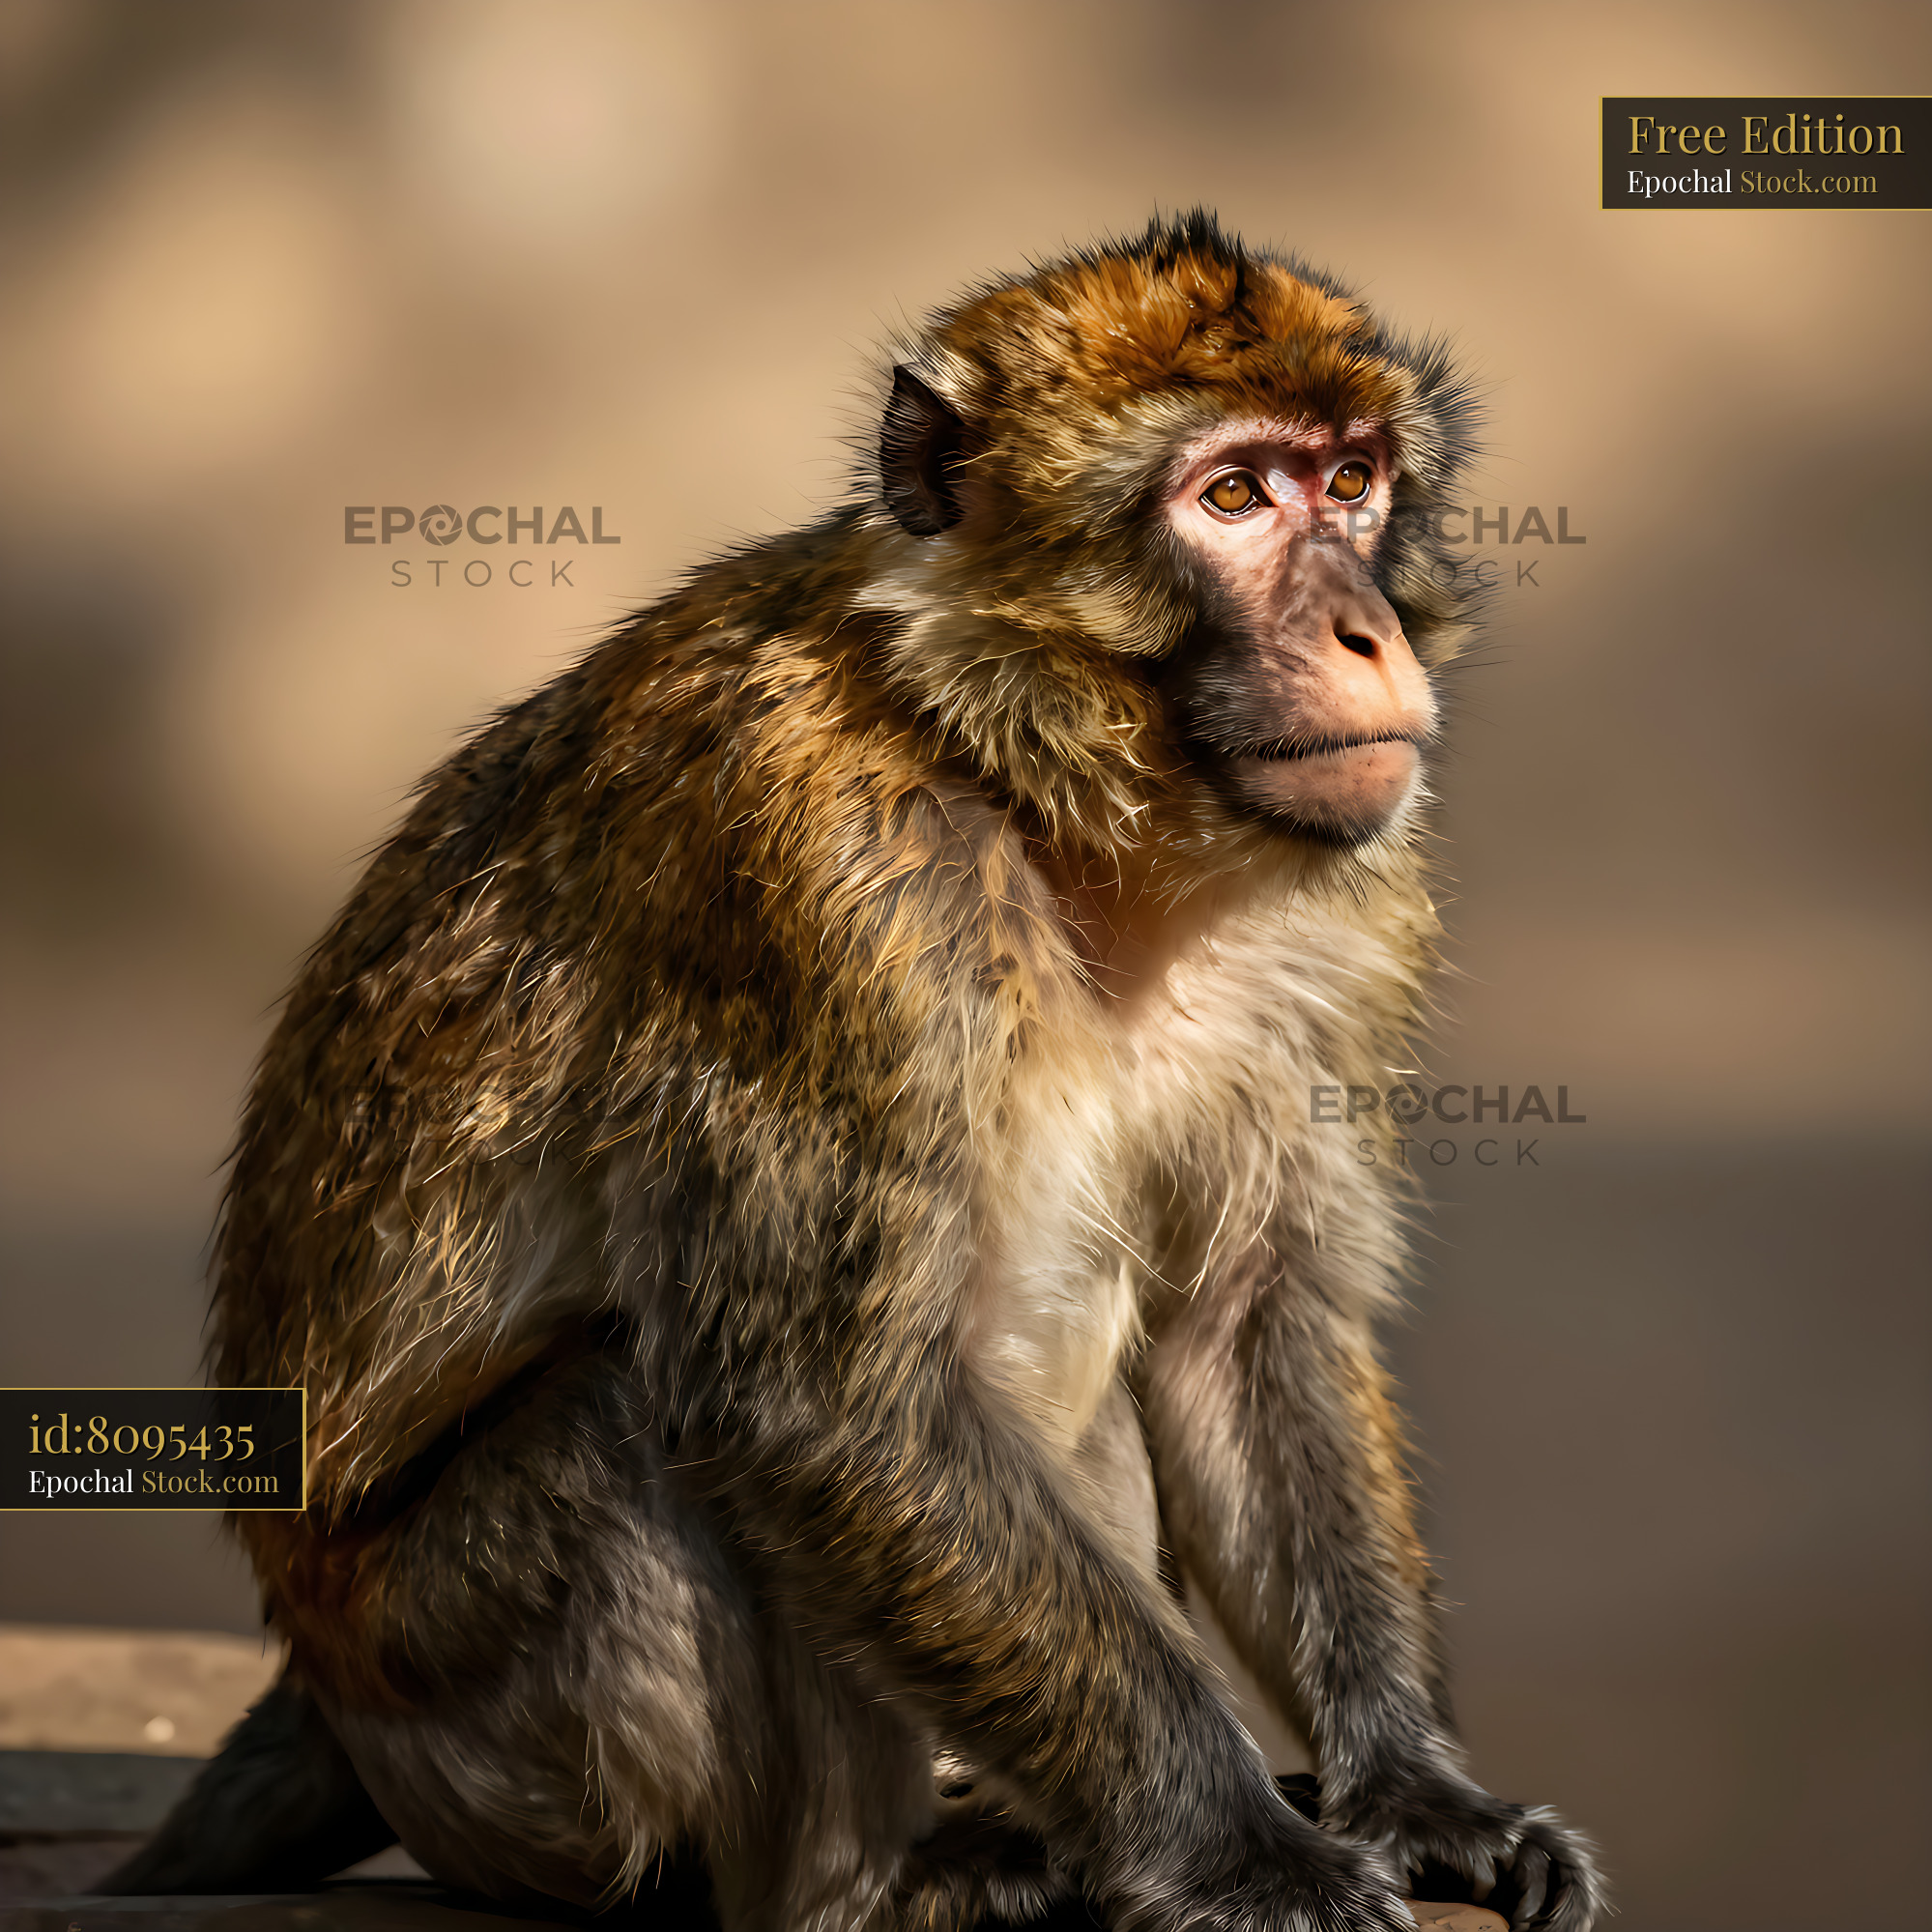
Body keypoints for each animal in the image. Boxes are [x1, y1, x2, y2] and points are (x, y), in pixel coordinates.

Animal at [107, 213, 1604, 1932]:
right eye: (1231, 497)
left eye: (1350, 480)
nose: (1363, 628)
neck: (1033, 785)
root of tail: (318, 1679)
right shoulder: (811, 874)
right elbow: (821, 1402)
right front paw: (1242, 1848)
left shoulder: (1333, 911)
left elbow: (1241, 1321)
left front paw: (1414, 1793)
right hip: (471, 1734)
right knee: (627, 1421)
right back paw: (882, 1878)